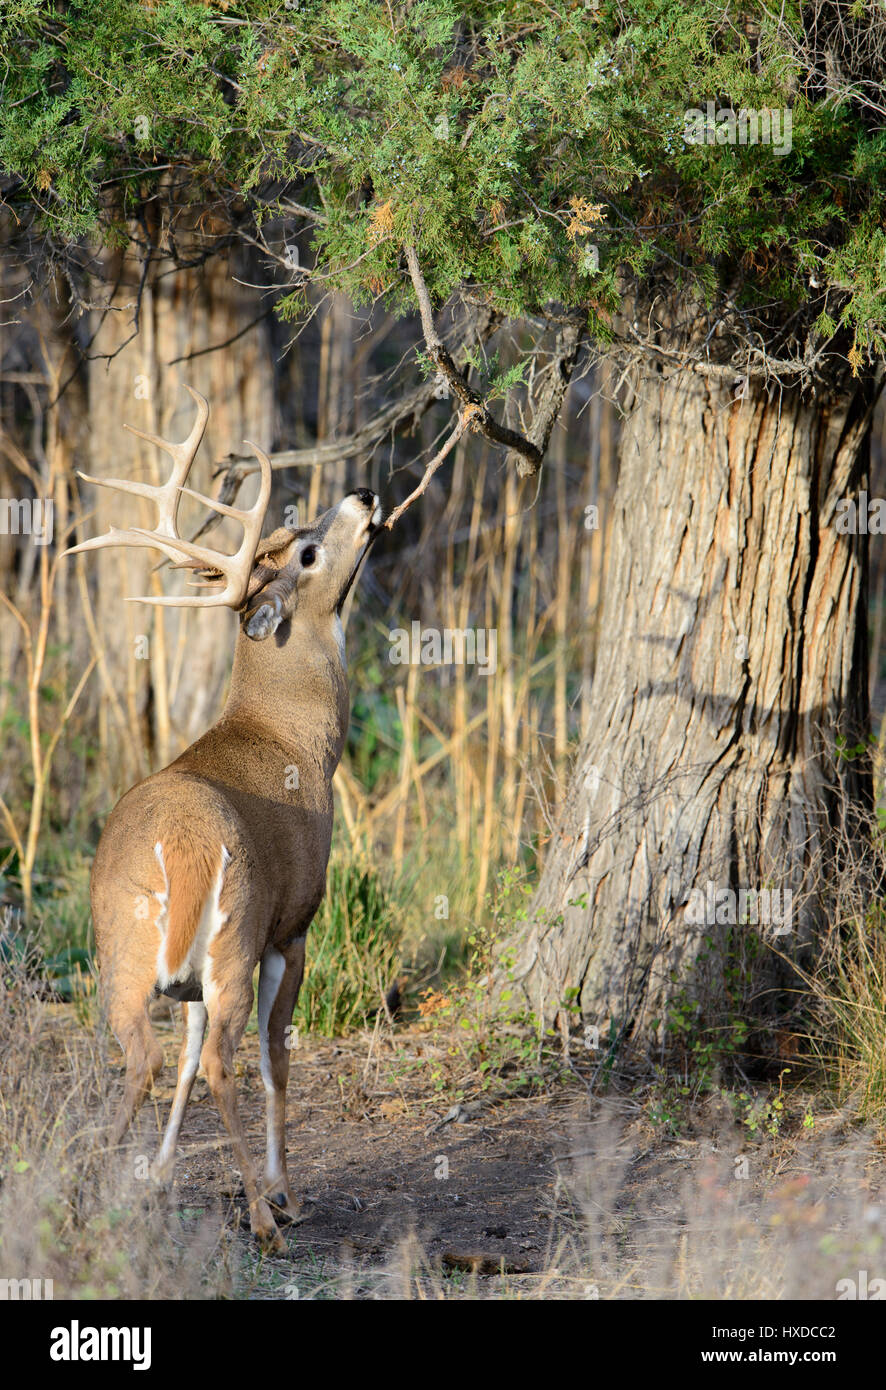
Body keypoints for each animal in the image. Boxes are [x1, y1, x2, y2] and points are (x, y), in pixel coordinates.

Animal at [63, 386, 378, 1256]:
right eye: (308, 553)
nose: (365, 494)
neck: (293, 737)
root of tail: (183, 846)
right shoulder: (293, 924)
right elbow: (276, 1060)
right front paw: (284, 1190)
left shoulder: (189, 976)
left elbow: (184, 1052)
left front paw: (164, 1171)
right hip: (235, 934)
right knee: (224, 1063)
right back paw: (267, 1221)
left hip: (125, 942)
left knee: (144, 1057)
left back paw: (82, 1194)